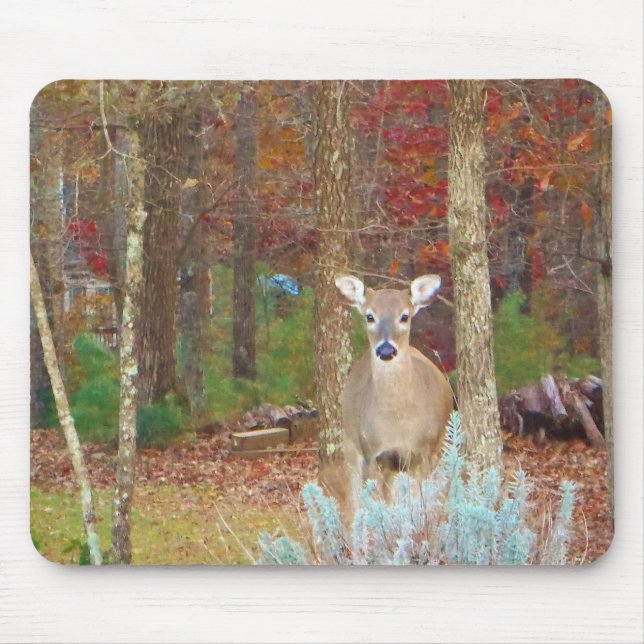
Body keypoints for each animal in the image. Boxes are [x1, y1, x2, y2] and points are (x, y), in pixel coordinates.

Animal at [320, 274, 453, 524]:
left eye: (405, 316)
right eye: (369, 316)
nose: (386, 350)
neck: (398, 422)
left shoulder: (424, 452)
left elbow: (420, 508)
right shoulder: (375, 454)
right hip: (351, 445)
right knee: (354, 503)